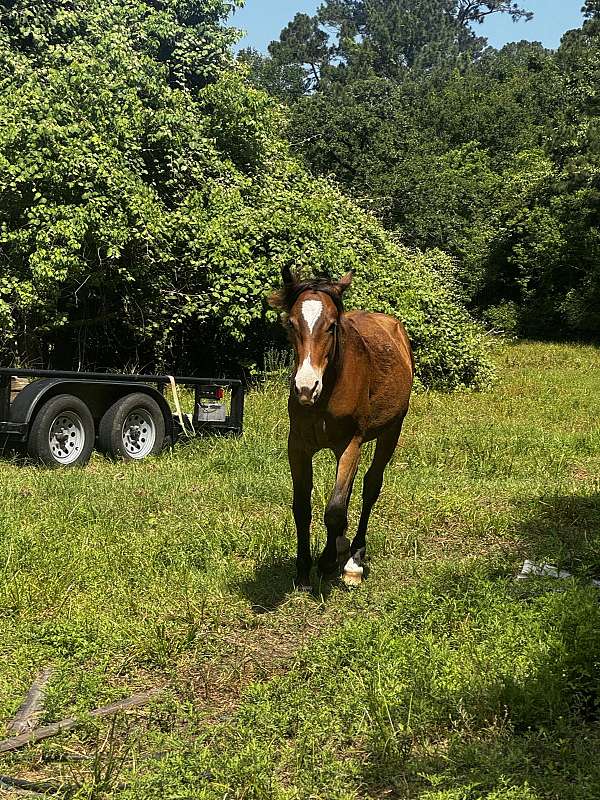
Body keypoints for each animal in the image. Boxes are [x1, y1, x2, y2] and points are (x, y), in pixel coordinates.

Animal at [268, 266, 414, 589]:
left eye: (332, 326)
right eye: (291, 324)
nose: (305, 388)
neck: (325, 396)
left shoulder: (350, 445)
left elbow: (335, 511)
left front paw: (326, 562)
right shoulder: (298, 447)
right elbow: (303, 507)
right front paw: (302, 571)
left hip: (391, 432)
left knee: (370, 487)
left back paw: (353, 560)